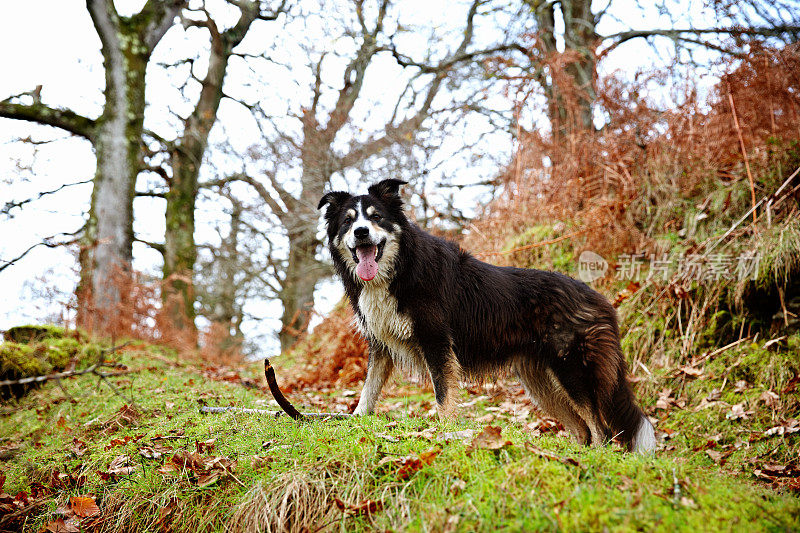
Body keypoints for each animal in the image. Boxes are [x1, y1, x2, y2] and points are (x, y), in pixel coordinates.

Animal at [318, 180, 656, 454]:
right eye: (348, 222)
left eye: (376, 217)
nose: (361, 232)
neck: (400, 268)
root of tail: (600, 300)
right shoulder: (381, 343)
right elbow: (368, 388)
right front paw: (356, 420)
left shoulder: (436, 341)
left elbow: (443, 395)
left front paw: (447, 433)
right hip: (543, 385)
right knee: (583, 429)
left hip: (572, 372)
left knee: (601, 429)